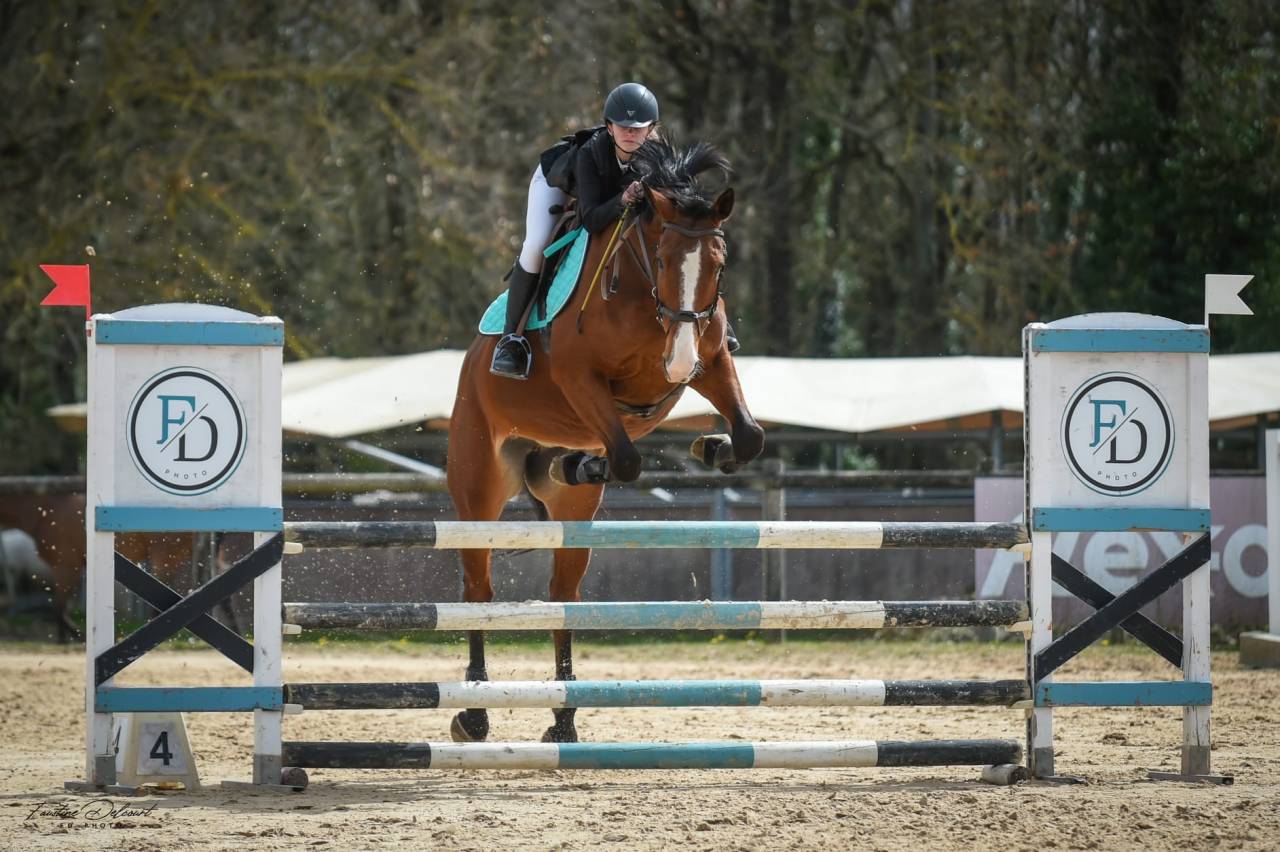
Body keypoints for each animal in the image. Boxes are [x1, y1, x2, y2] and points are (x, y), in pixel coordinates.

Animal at [446, 139, 764, 744]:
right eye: (661, 260)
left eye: (718, 264)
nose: (679, 360)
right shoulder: (581, 380)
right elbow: (628, 458)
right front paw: (590, 461)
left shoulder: (711, 362)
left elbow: (750, 435)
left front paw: (711, 447)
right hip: (478, 485)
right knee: (477, 591)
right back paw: (474, 714)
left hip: (572, 517)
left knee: (562, 597)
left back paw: (564, 721)